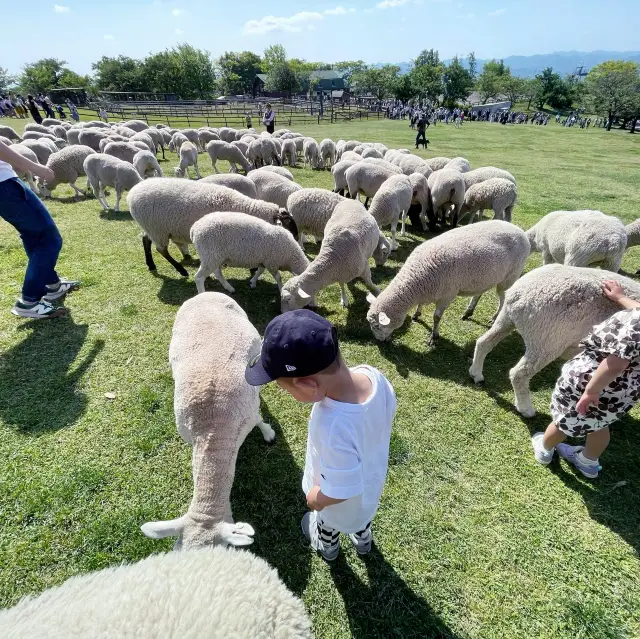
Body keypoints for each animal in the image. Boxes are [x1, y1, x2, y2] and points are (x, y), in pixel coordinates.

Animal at [128, 179, 298, 276]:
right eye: (289, 225)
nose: (296, 241)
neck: (244, 207)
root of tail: (132, 193)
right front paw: (253, 269)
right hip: (157, 229)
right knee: (161, 250)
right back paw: (180, 270)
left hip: (150, 227)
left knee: (145, 240)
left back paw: (151, 264)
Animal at [368, 221, 528, 350]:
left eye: (377, 326)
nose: (380, 341)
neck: (417, 277)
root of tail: (520, 231)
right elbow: (421, 305)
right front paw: (417, 314)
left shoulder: (447, 295)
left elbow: (436, 317)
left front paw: (434, 337)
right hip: (485, 277)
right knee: (479, 293)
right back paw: (468, 311)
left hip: (509, 277)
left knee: (503, 298)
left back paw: (494, 318)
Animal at [468, 262, 640, 418]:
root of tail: (519, 293)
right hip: (547, 340)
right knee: (519, 374)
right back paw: (526, 409)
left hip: (507, 319)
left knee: (484, 342)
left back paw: (476, 374)